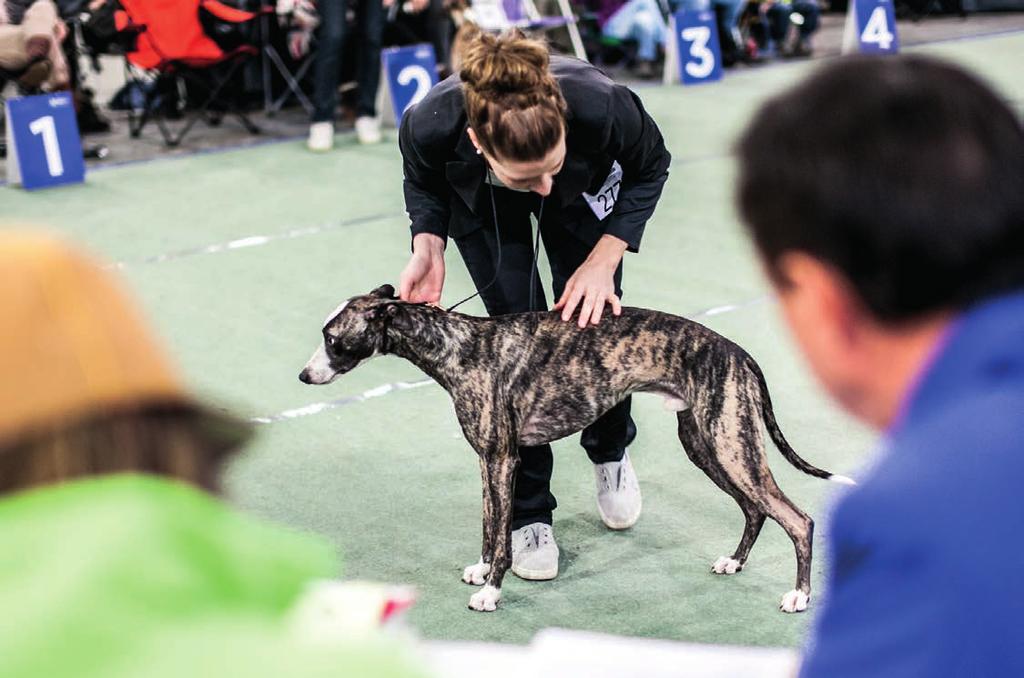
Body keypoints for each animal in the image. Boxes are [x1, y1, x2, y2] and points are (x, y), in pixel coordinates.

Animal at [299, 284, 851, 614]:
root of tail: (738, 353)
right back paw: (734, 563)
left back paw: (799, 595)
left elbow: (502, 536)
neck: (460, 347)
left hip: (731, 444)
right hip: (706, 444)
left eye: (333, 339)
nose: (304, 376)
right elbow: (488, 522)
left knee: (797, 518)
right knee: (755, 509)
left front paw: (491, 590)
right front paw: (480, 569)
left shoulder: (502, 459)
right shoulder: (486, 460)